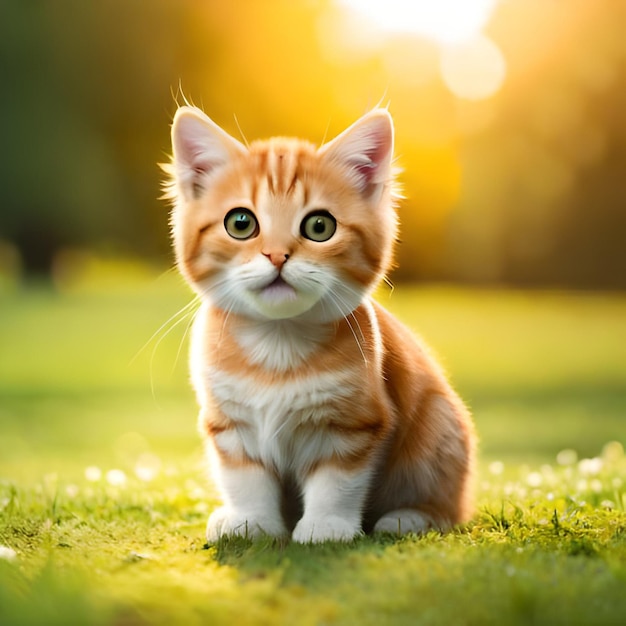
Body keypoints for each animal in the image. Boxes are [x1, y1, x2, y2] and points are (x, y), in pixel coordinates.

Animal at [165, 105, 472, 540]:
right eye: (240, 223)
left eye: (319, 226)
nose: (277, 255)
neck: (278, 343)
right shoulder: (229, 422)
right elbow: (245, 477)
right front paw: (250, 521)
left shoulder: (353, 424)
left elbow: (337, 480)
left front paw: (326, 527)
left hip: (441, 426)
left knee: (448, 506)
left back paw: (408, 518)